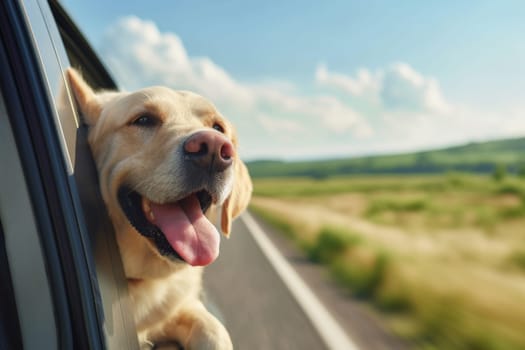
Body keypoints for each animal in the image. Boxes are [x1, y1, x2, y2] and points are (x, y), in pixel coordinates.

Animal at [67, 67, 252, 348]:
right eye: (144, 120)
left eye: (217, 127)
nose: (214, 148)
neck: (139, 280)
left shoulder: (181, 310)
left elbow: (214, 330)